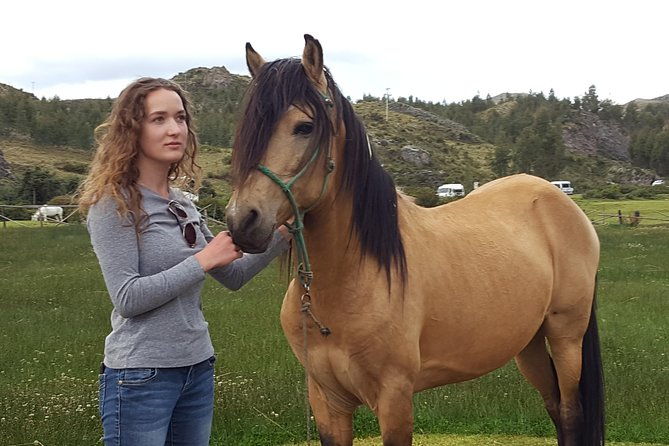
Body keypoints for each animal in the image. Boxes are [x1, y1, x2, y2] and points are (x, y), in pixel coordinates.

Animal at [226, 35, 604, 446]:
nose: (242, 220)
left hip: (566, 337)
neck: (350, 280)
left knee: (570, 413)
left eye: (304, 126)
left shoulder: (395, 398)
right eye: (246, 128)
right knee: (554, 408)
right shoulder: (327, 401)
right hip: (528, 343)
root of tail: (557, 198)